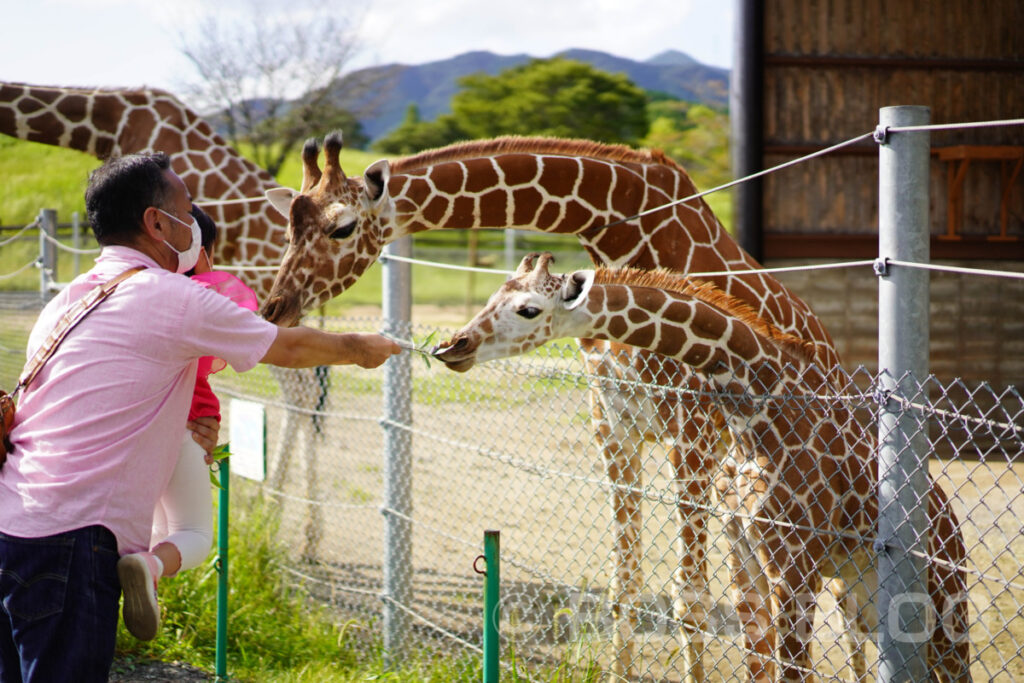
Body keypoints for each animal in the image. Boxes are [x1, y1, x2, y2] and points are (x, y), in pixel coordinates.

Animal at [262, 132, 847, 679]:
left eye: (341, 229)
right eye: (288, 227)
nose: (275, 309)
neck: (621, 232)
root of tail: (829, 350)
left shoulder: (691, 432)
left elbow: (692, 599)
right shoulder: (613, 427)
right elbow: (624, 584)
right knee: (757, 613)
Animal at [430, 252, 966, 683]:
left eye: (528, 309)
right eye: (493, 296)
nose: (451, 346)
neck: (757, 412)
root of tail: (949, 523)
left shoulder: (794, 561)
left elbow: (791, 669)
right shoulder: (745, 549)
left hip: (946, 609)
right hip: (869, 605)